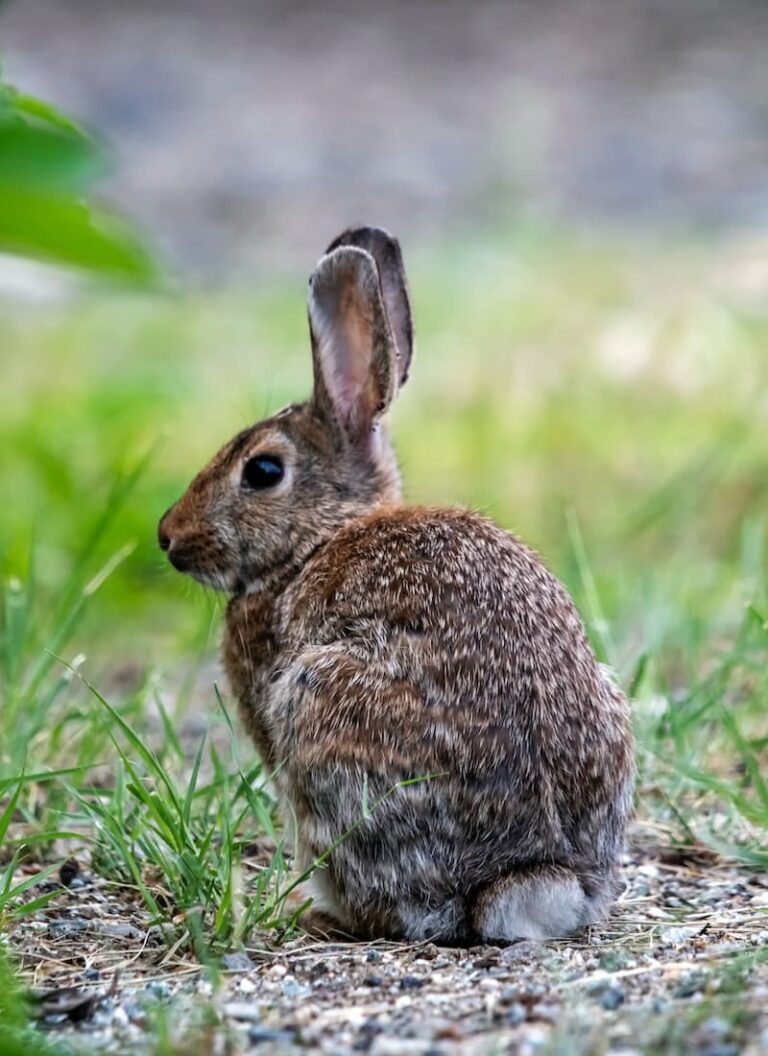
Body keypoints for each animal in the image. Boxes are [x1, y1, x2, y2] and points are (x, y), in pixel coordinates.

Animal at [158, 226, 634, 944]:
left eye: (263, 471)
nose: (168, 537)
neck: (317, 540)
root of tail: (528, 873)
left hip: (322, 714)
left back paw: (317, 913)